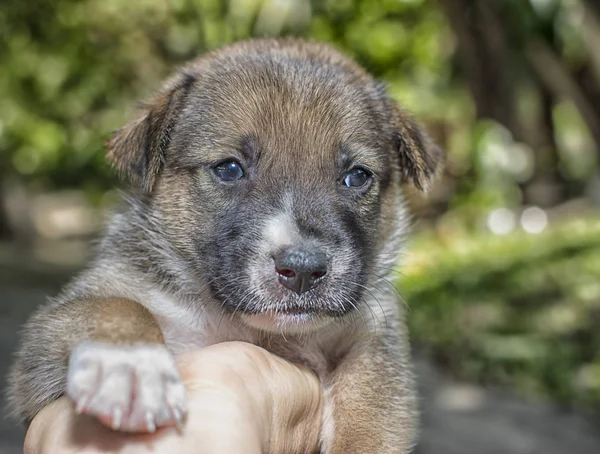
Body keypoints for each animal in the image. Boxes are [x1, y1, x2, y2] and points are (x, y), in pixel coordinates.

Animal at [8, 40, 440, 454]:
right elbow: (111, 306)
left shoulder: (373, 339)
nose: (302, 269)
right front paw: (129, 366)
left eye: (357, 176)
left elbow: (369, 412)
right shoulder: (42, 361)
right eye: (229, 168)